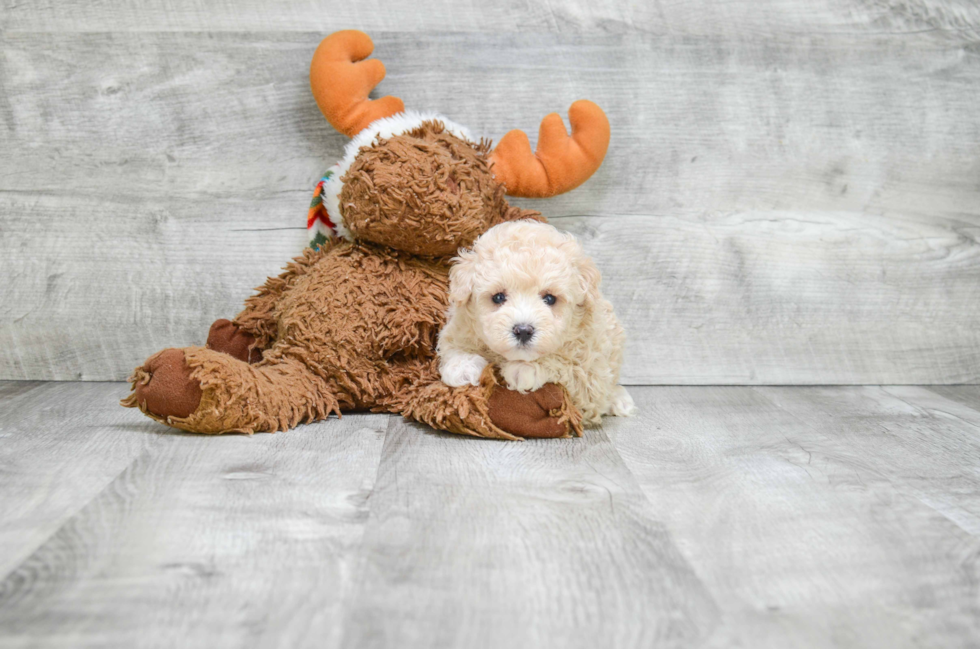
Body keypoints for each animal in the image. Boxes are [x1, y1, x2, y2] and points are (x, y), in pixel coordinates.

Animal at [436, 220, 636, 428]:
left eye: (550, 298)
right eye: (498, 297)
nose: (523, 331)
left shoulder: (591, 379)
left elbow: (566, 366)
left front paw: (524, 369)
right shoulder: (458, 328)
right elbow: (453, 346)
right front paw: (462, 367)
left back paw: (620, 400)